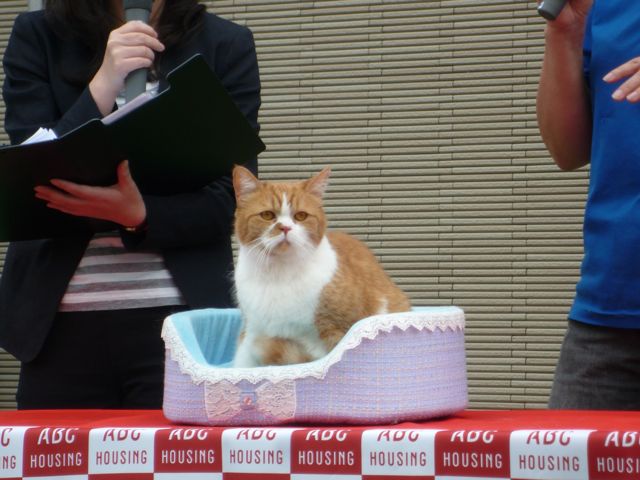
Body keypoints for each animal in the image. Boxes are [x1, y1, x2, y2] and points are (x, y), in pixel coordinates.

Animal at [231, 165, 411, 367]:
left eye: (301, 216)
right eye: (267, 215)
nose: (285, 228)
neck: (278, 274)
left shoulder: (338, 332)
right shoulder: (253, 329)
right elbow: (242, 364)